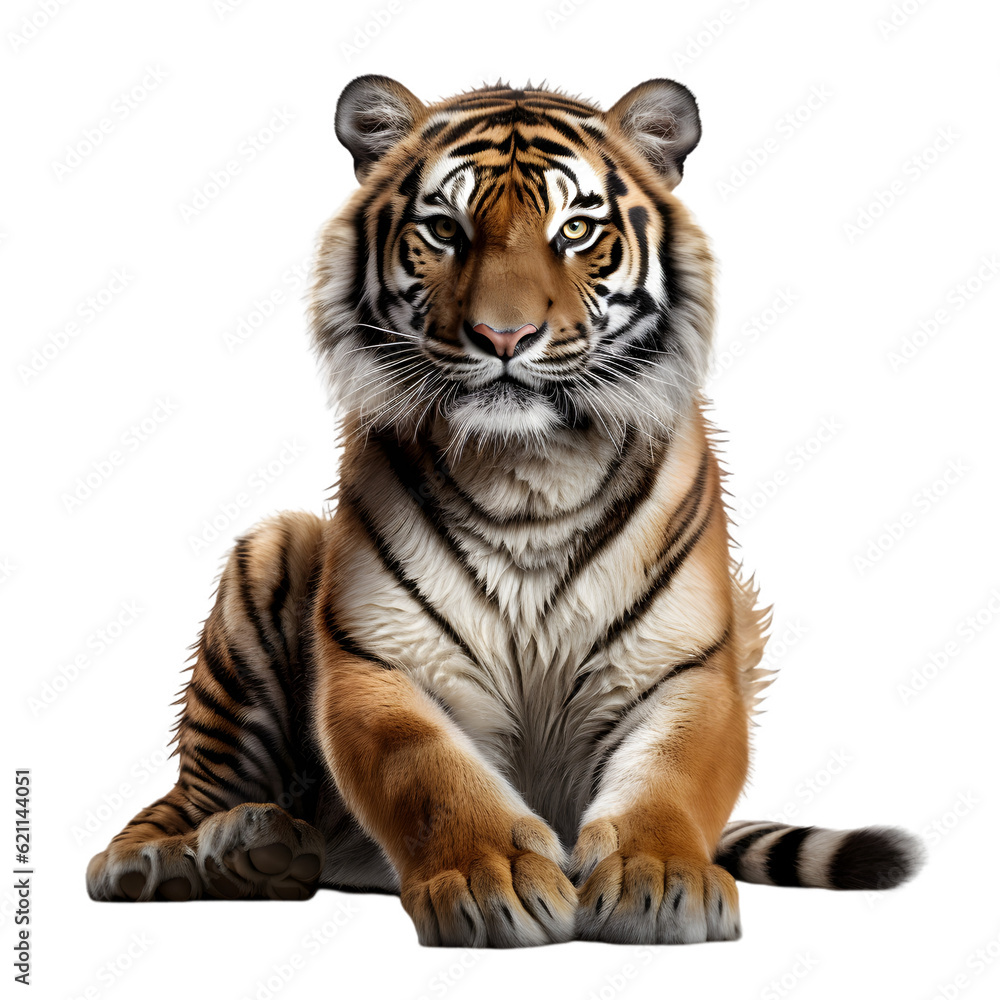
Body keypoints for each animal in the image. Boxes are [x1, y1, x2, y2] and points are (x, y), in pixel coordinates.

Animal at [86, 75, 923, 947]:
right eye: (444, 230)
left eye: (577, 230)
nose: (504, 334)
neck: (529, 473)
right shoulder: (382, 662)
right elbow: (431, 773)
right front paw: (495, 882)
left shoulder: (686, 665)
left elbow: (670, 778)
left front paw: (660, 880)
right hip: (271, 554)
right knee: (190, 795)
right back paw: (181, 855)